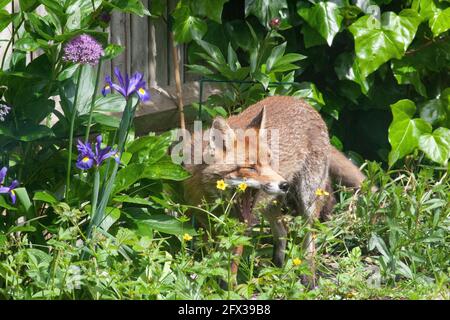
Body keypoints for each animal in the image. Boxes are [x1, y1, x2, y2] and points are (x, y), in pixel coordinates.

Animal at [181, 95, 368, 284]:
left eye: (270, 162)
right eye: (250, 167)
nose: (284, 184)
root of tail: (301, 100)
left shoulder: (239, 229)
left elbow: (230, 267)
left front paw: (228, 287)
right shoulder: (203, 220)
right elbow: (210, 259)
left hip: (307, 200)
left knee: (309, 239)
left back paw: (308, 279)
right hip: (269, 206)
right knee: (283, 231)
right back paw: (275, 271)